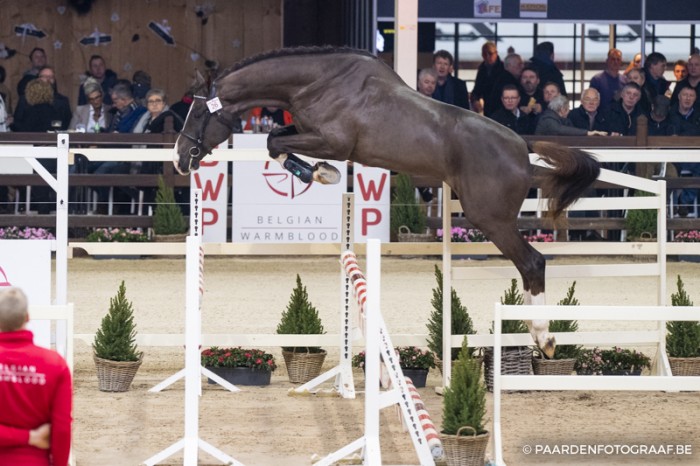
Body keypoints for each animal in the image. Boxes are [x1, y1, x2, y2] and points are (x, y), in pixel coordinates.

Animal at [175, 46, 600, 356]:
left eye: (196, 113)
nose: (180, 159)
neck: (319, 82)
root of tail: (521, 148)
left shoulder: (333, 141)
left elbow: (274, 141)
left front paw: (321, 173)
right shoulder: (308, 132)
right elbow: (274, 139)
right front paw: (320, 173)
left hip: (490, 219)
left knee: (532, 263)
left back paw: (544, 337)